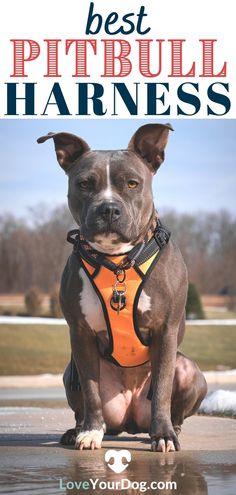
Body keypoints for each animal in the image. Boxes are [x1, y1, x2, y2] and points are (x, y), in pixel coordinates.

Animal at [37, 124, 206, 454]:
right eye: (85, 183)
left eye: (132, 183)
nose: (109, 209)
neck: (117, 261)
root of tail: (129, 422)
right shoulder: (81, 334)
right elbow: (90, 391)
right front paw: (90, 432)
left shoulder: (166, 331)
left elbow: (162, 388)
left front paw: (164, 435)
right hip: (70, 372)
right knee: (84, 401)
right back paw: (78, 430)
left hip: (190, 371)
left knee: (174, 395)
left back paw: (171, 428)